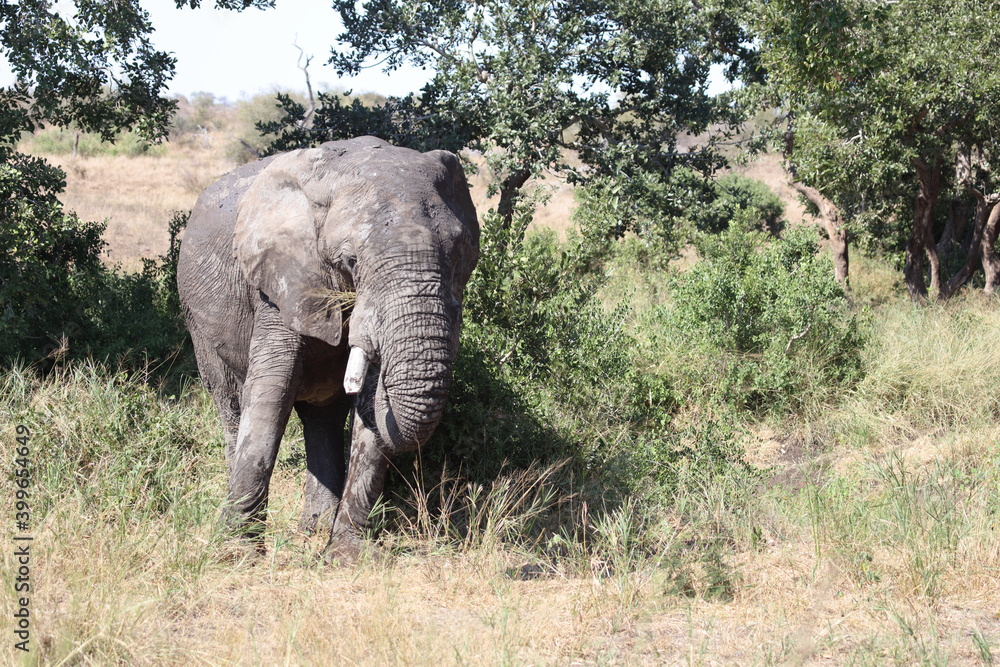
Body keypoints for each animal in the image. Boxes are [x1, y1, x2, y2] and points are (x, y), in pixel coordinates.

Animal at [177, 138, 480, 560]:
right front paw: (238, 553)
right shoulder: (279, 284)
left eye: (458, 254)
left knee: (323, 419)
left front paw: (347, 556)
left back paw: (314, 530)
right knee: (229, 401)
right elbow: (270, 393)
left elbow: (367, 418)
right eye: (350, 260)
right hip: (197, 320)